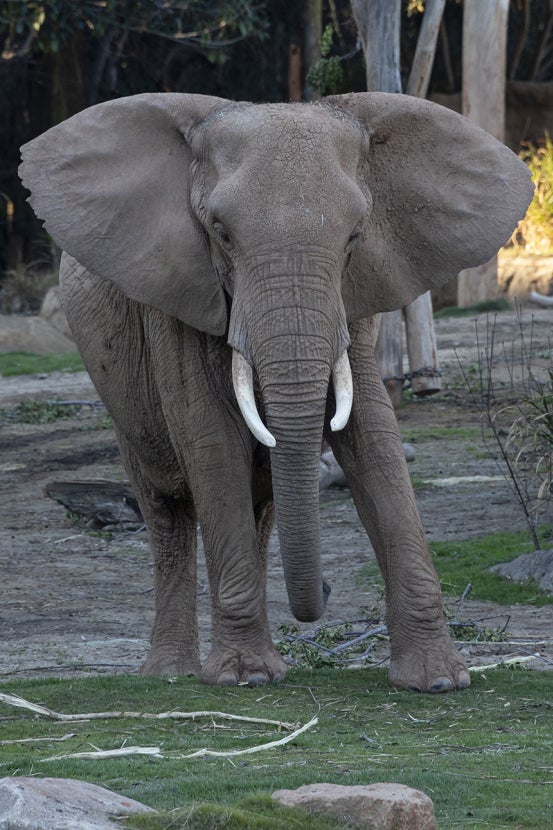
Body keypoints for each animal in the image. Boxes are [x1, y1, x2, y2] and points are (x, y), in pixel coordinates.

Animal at [19, 91, 533, 691]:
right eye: (220, 232)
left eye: (354, 236)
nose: (321, 600)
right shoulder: (179, 296)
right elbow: (212, 441)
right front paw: (243, 678)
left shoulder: (357, 294)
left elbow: (374, 437)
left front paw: (439, 681)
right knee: (165, 503)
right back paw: (172, 673)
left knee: (261, 502)